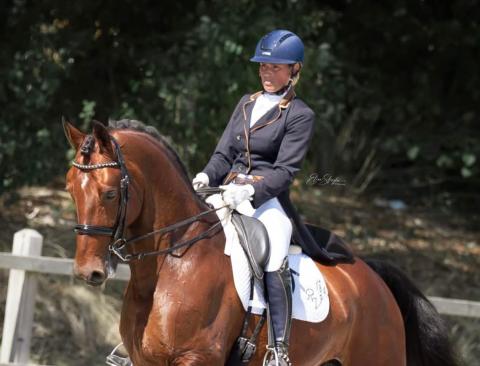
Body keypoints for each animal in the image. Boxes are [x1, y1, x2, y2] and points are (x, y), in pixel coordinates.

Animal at [62, 120, 458, 366]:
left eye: (110, 193)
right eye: (70, 189)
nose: (88, 273)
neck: (170, 266)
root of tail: (372, 277)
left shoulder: (196, 358)